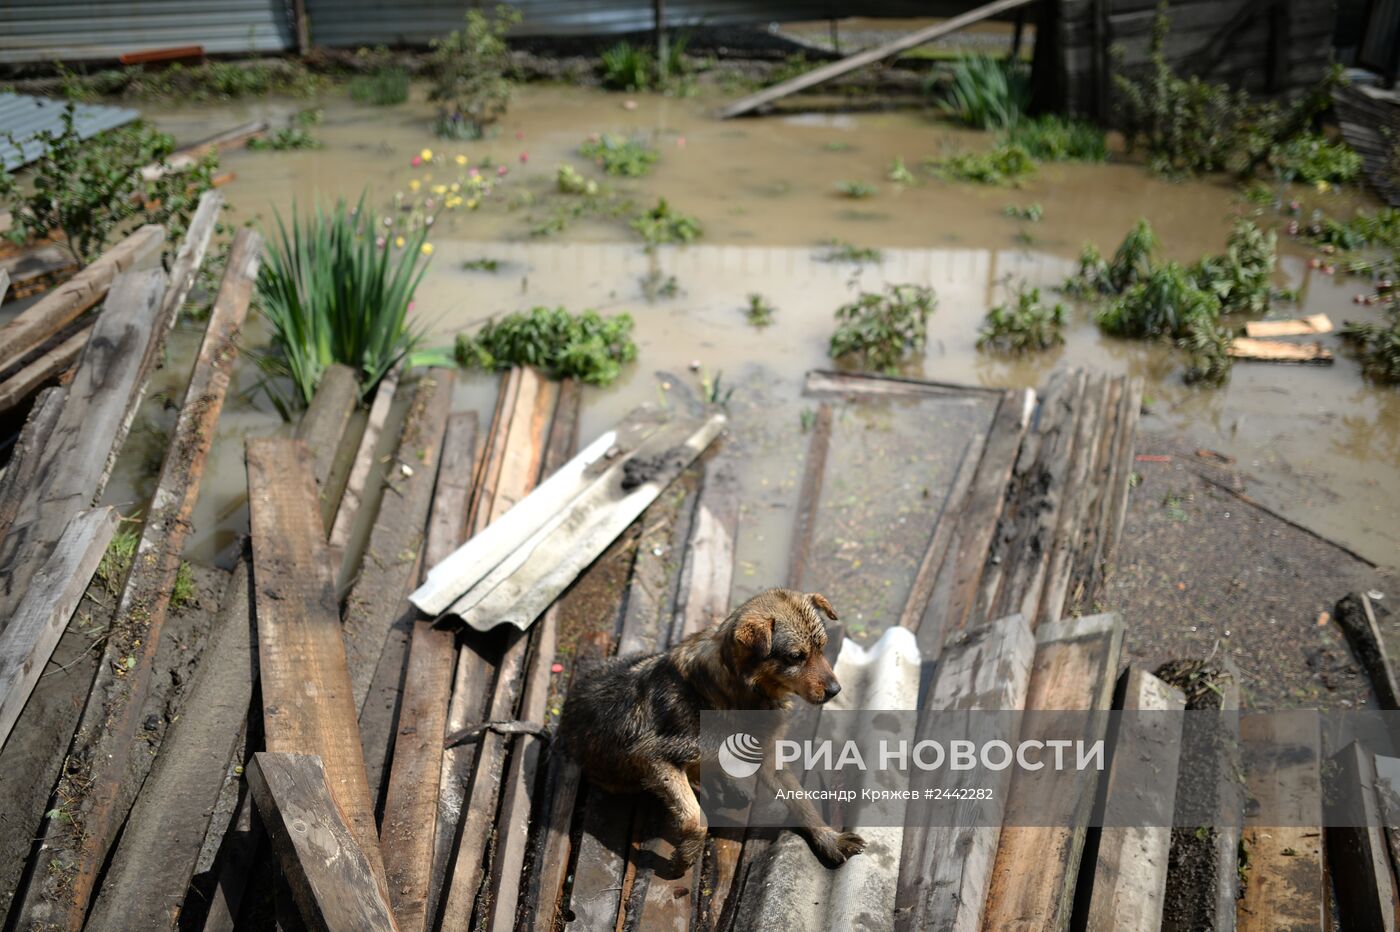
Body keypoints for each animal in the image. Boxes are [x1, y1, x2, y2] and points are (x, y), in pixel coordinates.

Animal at [554, 587, 862, 873]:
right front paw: (685, 858)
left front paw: (829, 839)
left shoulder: (770, 756)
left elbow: (802, 801)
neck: (736, 692)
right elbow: (694, 818)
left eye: (822, 648)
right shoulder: (652, 756)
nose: (836, 691)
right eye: (796, 657)